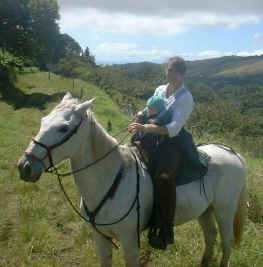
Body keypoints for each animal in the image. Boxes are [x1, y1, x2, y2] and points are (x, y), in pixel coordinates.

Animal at [18, 93, 248, 267]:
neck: (111, 178)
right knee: (210, 237)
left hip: (224, 210)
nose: (24, 167)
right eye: (43, 121)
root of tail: (234, 154)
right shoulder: (101, 238)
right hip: (205, 210)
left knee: (226, 241)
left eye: (63, 128)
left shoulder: (129, 242)